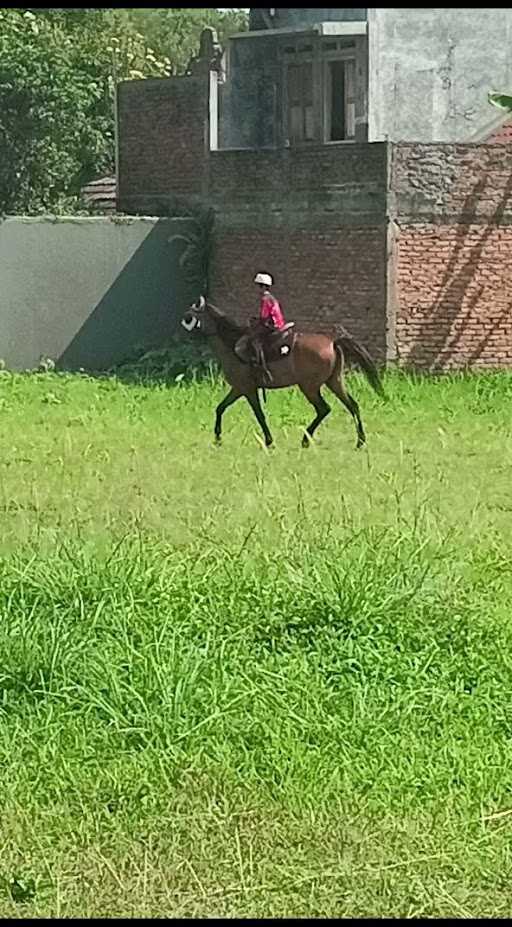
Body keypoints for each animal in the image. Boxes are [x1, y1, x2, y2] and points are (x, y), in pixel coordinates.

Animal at [180, 296, 384, 452]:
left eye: (189, 316)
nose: (183, 334)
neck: (232, 346)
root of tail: (333, 342)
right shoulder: (238, 389)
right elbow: (220, 408)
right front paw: (217, 438)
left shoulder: (247, 389)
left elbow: (259, 415)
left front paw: (269, 441)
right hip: (334, 382)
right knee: (352, 406)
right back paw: (360, 441)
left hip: (310, 387)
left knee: (324, 409)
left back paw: (305, 439)